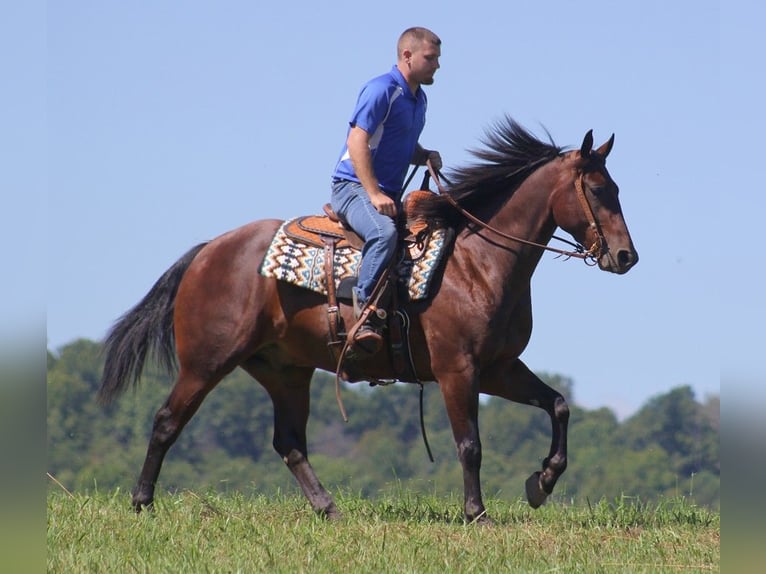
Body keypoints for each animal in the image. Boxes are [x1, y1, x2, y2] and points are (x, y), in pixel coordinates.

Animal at [99, 119, 640, 524]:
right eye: (597, 189)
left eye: (616, 187)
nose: (625, 256)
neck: (476, 262)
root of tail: (209, 250)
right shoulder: (457, 369)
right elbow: (470, 444)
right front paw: (477, 513)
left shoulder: (499, 369)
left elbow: (559, 406)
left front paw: (541, 482)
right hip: (207, 361)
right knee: (167, 421)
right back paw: (142, 502)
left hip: (284, 371)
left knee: (289, 442)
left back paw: (329, 509)